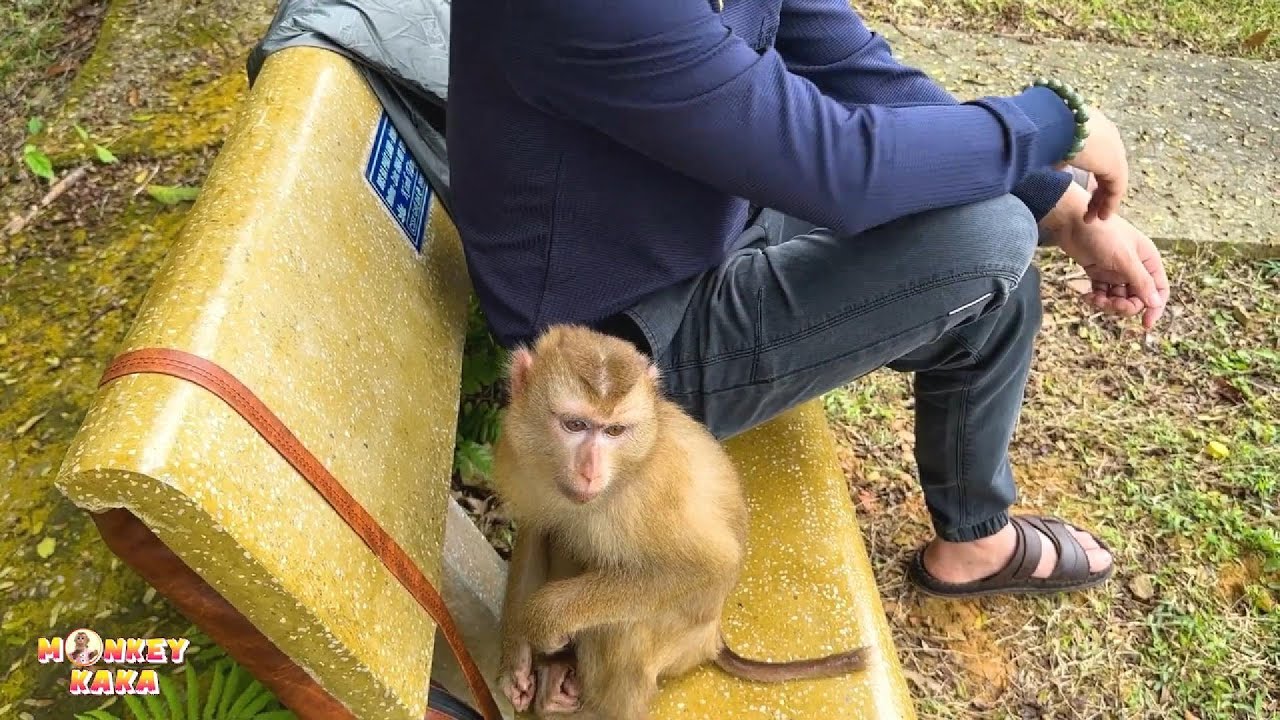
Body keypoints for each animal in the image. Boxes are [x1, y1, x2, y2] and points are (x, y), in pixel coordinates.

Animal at [491, 325, 869, 720]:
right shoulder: (518, 453)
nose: (590, 473)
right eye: (575, 425)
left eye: (614, 431)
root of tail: (712, 639)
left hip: (680, 643)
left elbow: (708, 566)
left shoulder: (651, 499)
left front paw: (546, 620)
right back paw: (556, 675)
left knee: (628, 624)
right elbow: (537, 527)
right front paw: (516, 659)